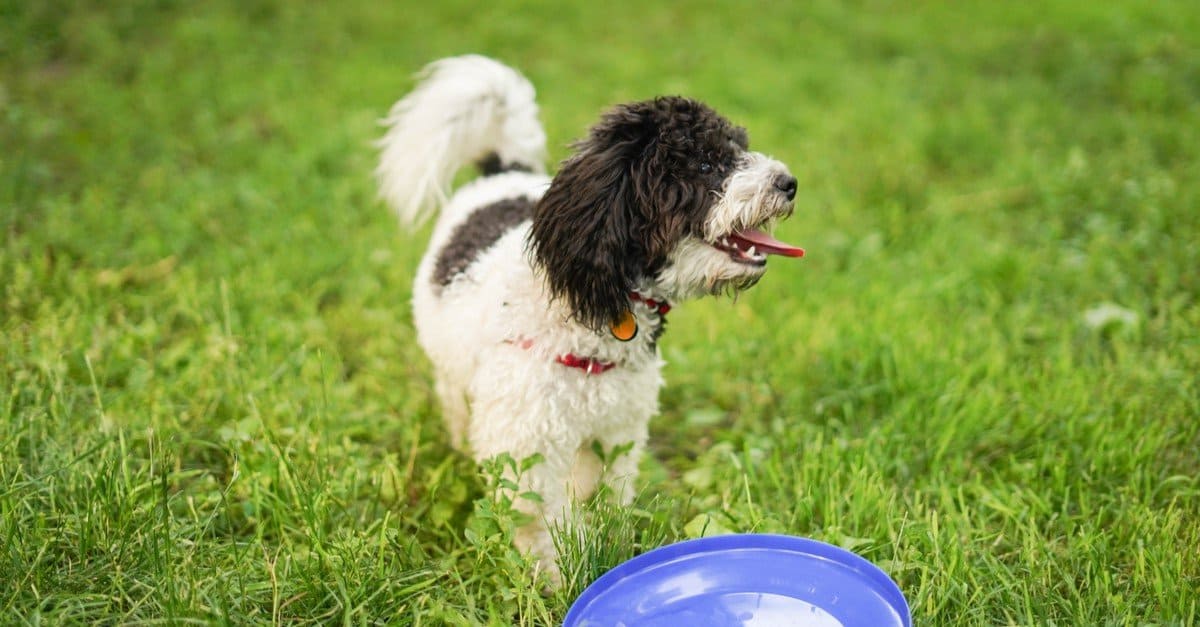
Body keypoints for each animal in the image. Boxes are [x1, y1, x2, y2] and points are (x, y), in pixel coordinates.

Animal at [374, 54, 806, 581]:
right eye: (705, 163)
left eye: (739, 146)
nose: (788, 183)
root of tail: (502, 172)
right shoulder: (529, 445)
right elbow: (545, 523)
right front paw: (559, 576)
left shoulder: (615, 433)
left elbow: (605, 500)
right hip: (453, 373)